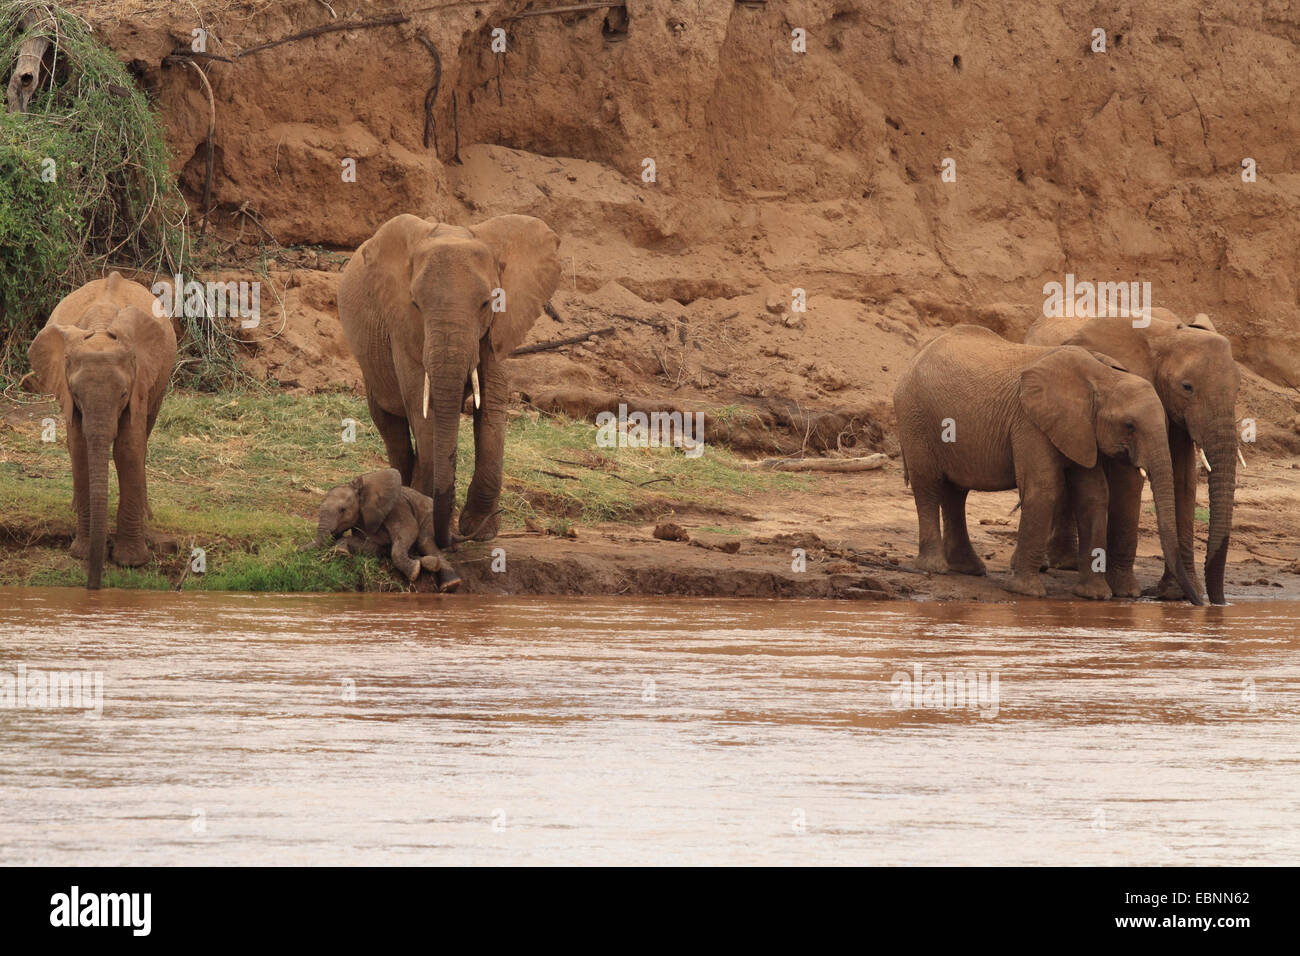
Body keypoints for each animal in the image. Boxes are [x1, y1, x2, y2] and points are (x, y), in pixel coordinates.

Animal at [301, 468, 460, 595]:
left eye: (342, 510)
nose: (298, 550)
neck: (361, 491)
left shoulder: (398, 506)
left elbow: (409, 530)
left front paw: (414, 572)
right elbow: (372, 547)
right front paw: (341, 552)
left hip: (430, 518)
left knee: (424, 541)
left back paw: (450, 584)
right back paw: (428, 563)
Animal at [335, 213, 559, 580]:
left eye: (486, 303)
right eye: (415, 303)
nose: (455, 537)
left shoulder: (499, 325)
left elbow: (492, 402)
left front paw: (480, 531)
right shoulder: (403, 328)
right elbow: (421, 407)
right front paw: (428, 516)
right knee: (390, 425)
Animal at [894, 325, 1196, 600]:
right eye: (1129, 425)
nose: (1196, 601)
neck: (1102, 376)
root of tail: (916, 356)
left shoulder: (1081, 429)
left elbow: (1094, 495)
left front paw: (1094, 596)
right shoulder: (1030, 422)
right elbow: (1043, 489)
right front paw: (1026, 592)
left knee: (956, 491)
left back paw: (969, 569)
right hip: (915, 417)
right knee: (928, 484)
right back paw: (935, 567)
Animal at [1024, 310, 1237, 600]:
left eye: (1238, 390)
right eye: (1187, 387)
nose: (1218, 605)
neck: (1168, 336)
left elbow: (1183, 479)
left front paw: (1176, 594)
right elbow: (1129, 478)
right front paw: (1126, 592)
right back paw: (1056, 564)